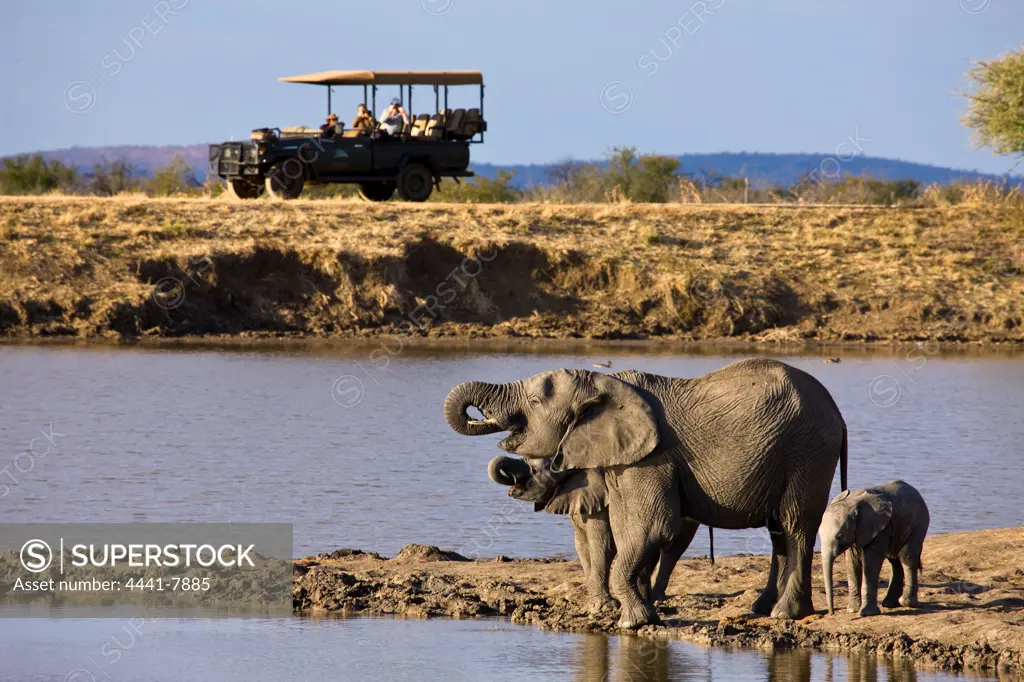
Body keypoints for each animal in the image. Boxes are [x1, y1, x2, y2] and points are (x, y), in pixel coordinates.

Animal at [487, 450, 712, 610]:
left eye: (535, 471)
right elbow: (581, 544)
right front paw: (592, 599)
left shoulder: (601, 499)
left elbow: (602, 544)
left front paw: (604, 606)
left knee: (671, 548)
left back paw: (655, 598)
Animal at [819, 477, 933, 614]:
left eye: (839, 536)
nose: (832, 613)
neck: (852, 503)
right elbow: (851, 562)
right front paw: (852, 610)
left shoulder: (880, 528)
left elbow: (871, 562)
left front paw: (866, 613)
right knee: (894, 561)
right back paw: (890, 604)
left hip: (919, 523)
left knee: (907, 557)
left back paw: (906, 603)